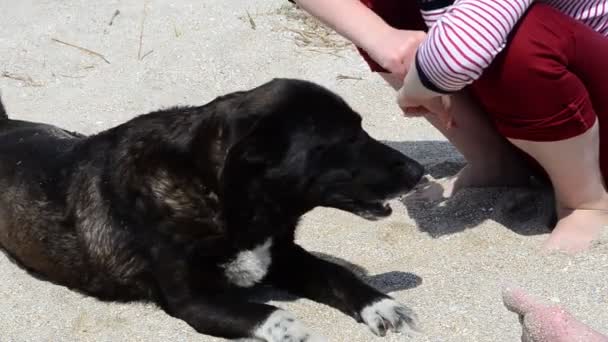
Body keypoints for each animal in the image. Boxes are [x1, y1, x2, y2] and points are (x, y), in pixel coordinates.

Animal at [0, 79, 426, 340]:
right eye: (346, 139)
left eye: (360, 128)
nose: (419, 171)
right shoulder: (194, 301)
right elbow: (274, 312)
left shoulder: (284, 256)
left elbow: (336, 274)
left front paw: (381, 305)